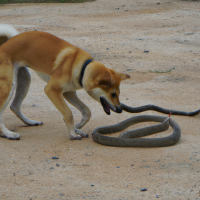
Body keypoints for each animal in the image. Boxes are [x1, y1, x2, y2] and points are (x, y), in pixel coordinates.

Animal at [0, 24, 130, 141]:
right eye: (113, 94)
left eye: (118, 94)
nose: (120, 110)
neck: (83, 67)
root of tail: (3, 45)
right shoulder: (52, 91)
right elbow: (68, 113)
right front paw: (73, 134)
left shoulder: (69, 93)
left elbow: (87, 111)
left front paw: (77, 128)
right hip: (8, 86)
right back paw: (8, 134)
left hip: (24, 79)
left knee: (14, 106)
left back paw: (29, 122)